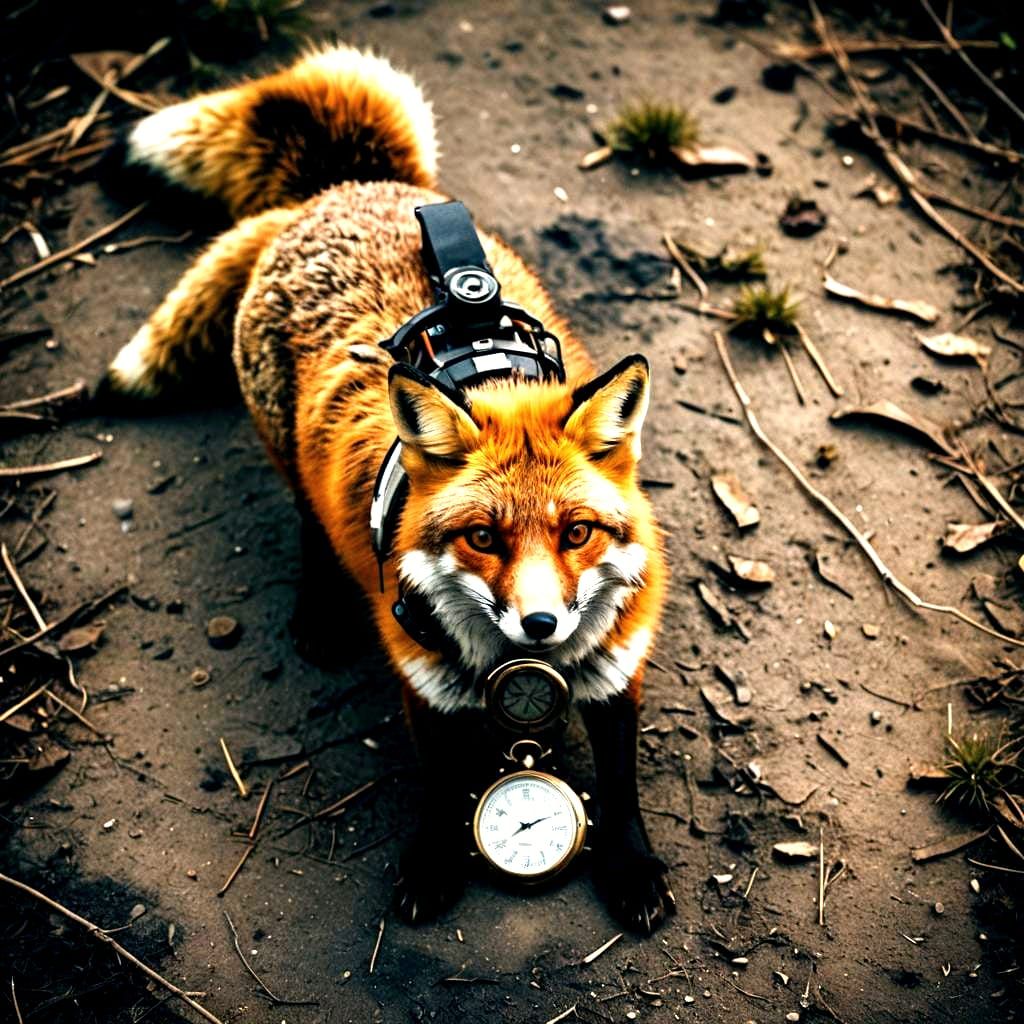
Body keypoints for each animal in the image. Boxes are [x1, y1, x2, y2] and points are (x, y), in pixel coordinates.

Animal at [97, 44, 674, 932]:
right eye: (483, 538)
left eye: (576, 533)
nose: (541, 624)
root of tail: (342, 188)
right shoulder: (425, 683)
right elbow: (442, 788)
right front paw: (435, 862)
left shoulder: (616, 672)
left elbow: (620, 787)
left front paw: (633, 868)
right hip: (288, 452)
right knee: (307, 519)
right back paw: (317, 610)